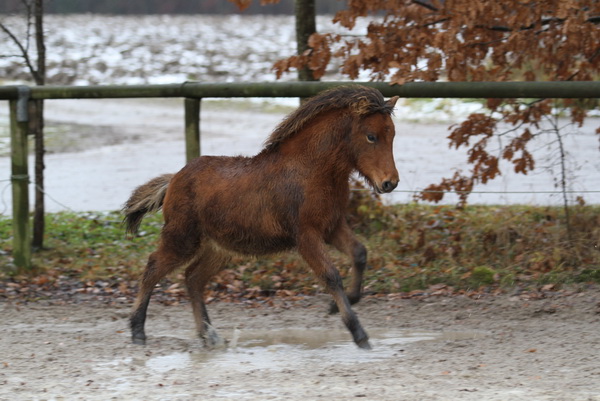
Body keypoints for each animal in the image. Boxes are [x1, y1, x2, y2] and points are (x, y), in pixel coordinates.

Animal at [123, 86, 398, 348]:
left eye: (392, 135)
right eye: (371, 136)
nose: (390, 183)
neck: (311, 171)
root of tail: (173, 180)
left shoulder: (332, 227)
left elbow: (359, 253)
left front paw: (339, 306)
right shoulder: (306, 235)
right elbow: (331, 276)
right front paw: (359, 333)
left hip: (219, 247)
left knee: (193, 278)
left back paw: (209, 336)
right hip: (182, 238)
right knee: (153, 268)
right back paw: (138, 331)